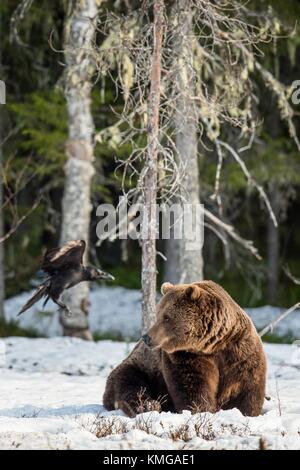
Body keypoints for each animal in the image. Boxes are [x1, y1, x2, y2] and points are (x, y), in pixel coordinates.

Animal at [103, 280, 268, 416]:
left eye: (166, 317)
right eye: (158, 315)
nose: (146, 337)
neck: (213, 344)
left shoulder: (240, 352)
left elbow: (246, 388)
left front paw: (246, 412)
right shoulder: (186, 356)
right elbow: (193, 386)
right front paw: (202, 410)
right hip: (140, 368)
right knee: (130, 383)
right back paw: (149, 405)